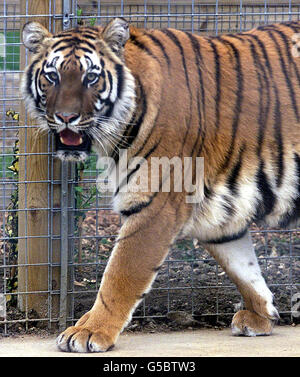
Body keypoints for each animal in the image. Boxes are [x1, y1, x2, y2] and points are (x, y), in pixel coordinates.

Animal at [21, 16, 300, 352]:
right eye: (52, 76)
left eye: (91, 77)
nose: (65, 117)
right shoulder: (220, 215)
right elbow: (243, 268)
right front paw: (261, 316)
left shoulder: (156, 205)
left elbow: (120, 275)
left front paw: (89, 331)